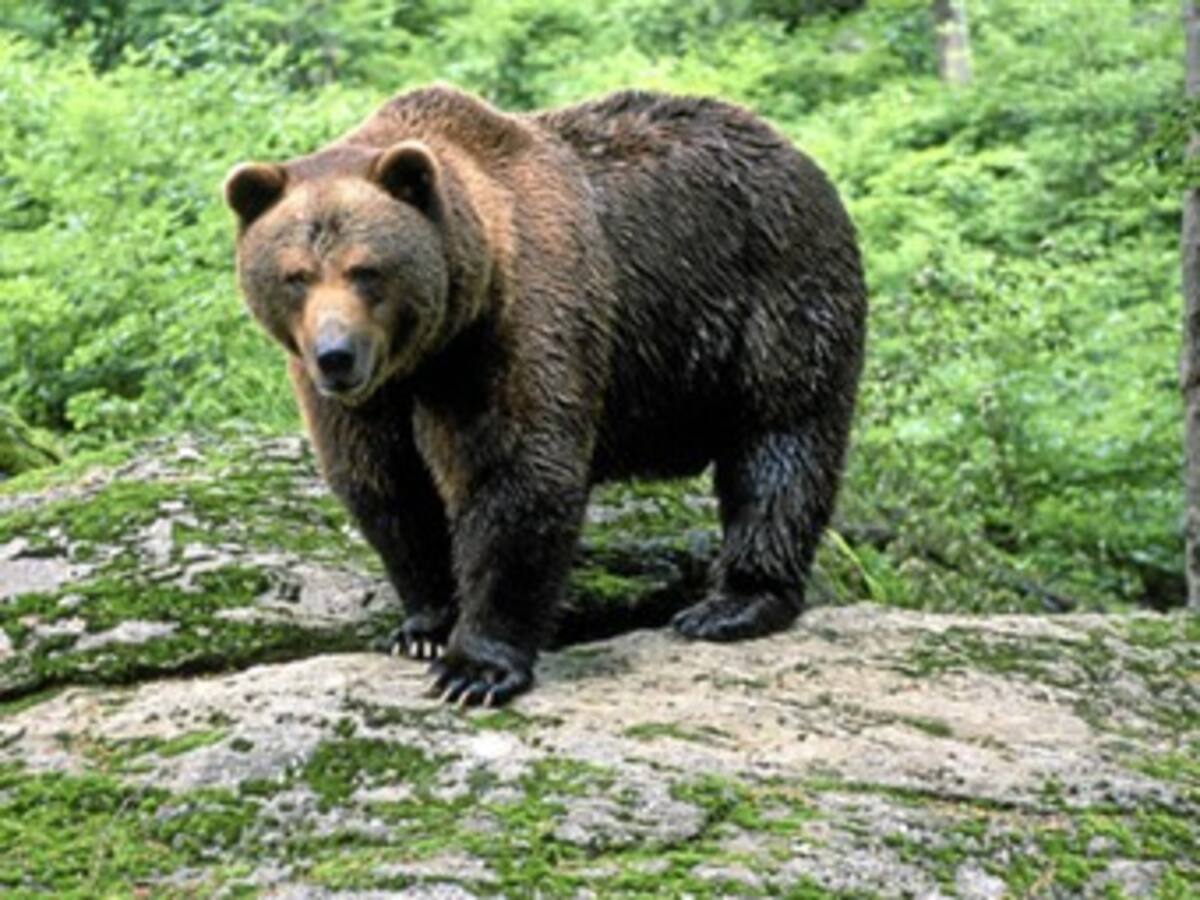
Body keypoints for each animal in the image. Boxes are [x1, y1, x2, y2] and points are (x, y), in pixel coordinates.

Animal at [224, 85, 866, 707]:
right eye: (296, 275)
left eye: (366, 270)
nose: (336, 356)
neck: (432, 348)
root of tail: (791, 148)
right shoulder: (368, 399)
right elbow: (387, 485)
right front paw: (424, 628)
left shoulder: (517, 325)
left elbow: (517, 475)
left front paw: (475, 668)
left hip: (775, 295)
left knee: (780, 441)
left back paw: (732, 603)